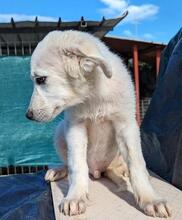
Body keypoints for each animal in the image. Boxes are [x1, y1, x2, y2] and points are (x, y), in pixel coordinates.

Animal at [26, 30, 171, 217]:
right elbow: (77, 164)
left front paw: (150, 199)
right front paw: (76, 196)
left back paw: (124, 173)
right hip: (60, 130)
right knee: (69, 163)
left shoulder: (126, 124)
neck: (93, 95)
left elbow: (137, 164)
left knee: (123, 166)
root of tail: (98, 171)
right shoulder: (75, 127)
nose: (28, 115)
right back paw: (59, 170)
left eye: (41, 79)